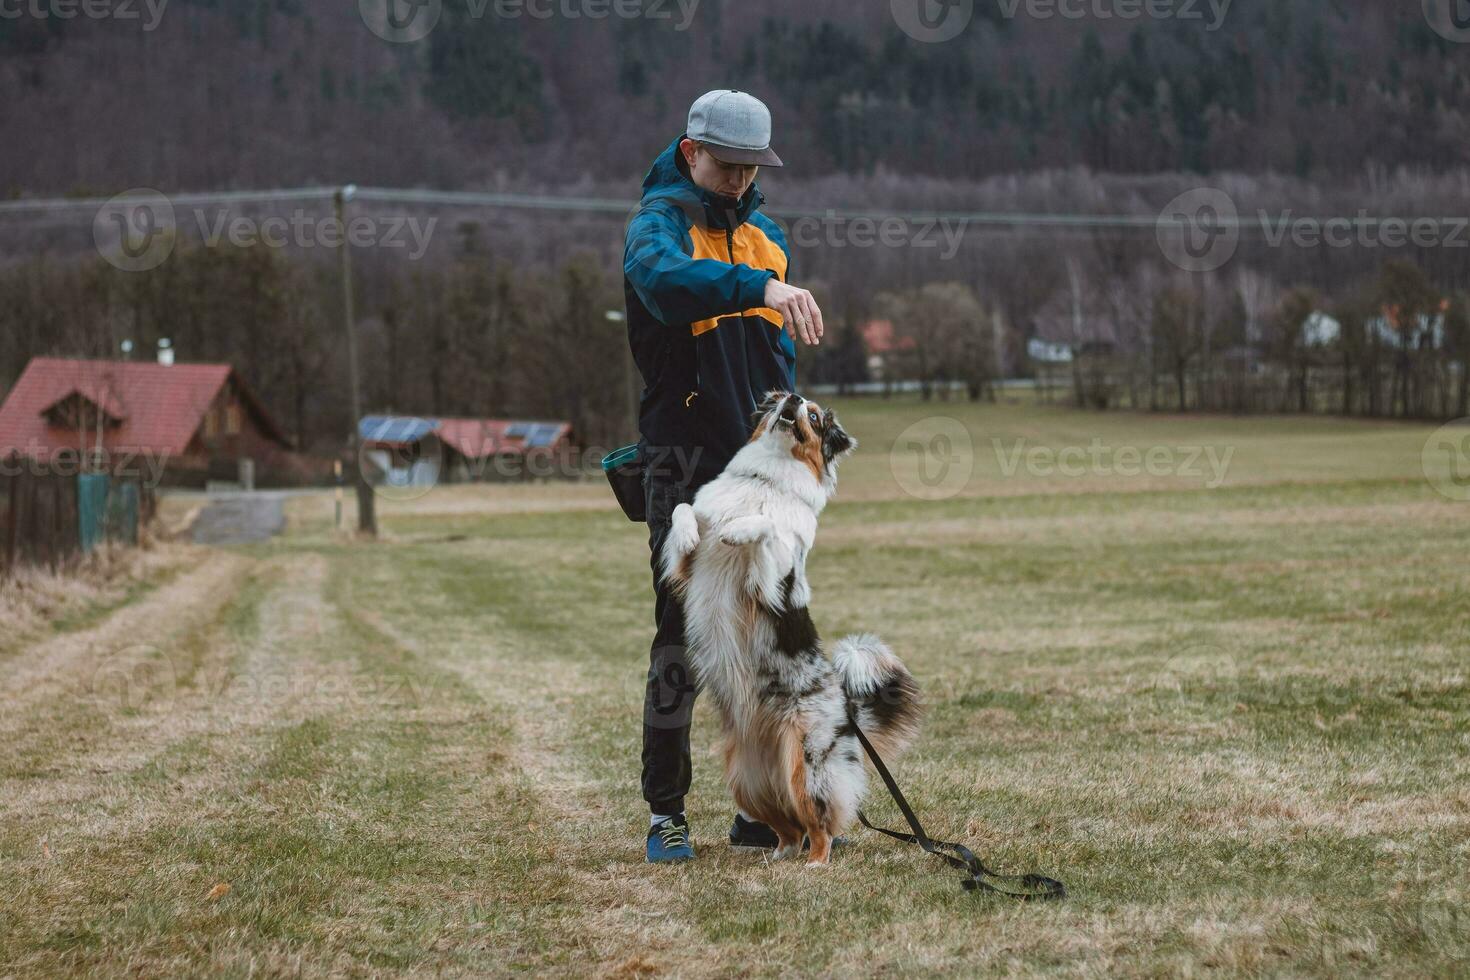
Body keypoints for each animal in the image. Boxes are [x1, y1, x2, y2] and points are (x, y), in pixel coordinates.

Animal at [664, 390, 917, 863]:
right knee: (788, 826)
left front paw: (740, 529)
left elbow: (768, 527)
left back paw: (815, 863)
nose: (795, 398)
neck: (766, 482)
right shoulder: (686, 569)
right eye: (784, 398)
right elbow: (683, 507)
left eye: (814, 417)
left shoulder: (774, 587)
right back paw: (778, 856)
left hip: (808, 765)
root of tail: (848, 710)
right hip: (748, 779)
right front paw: (690, 531)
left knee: (819, 826)